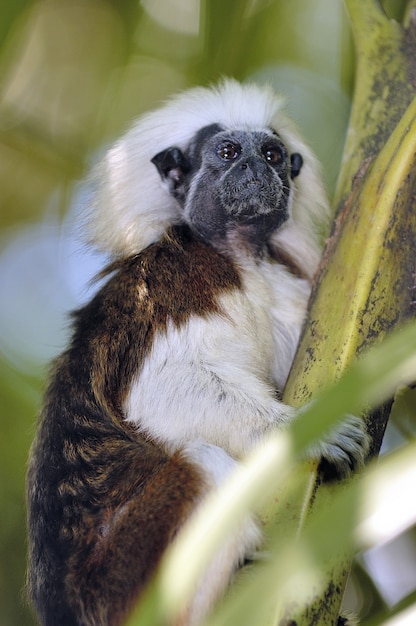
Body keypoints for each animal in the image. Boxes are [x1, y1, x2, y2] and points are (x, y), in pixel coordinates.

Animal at [26, 79, 368, 624]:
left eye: (271, 154)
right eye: (227, 152)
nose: (253, 168)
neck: (239, 255)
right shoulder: (177, 282)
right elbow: (159, 390)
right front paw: (309, 430)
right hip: (124, 581)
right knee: (201, 461)